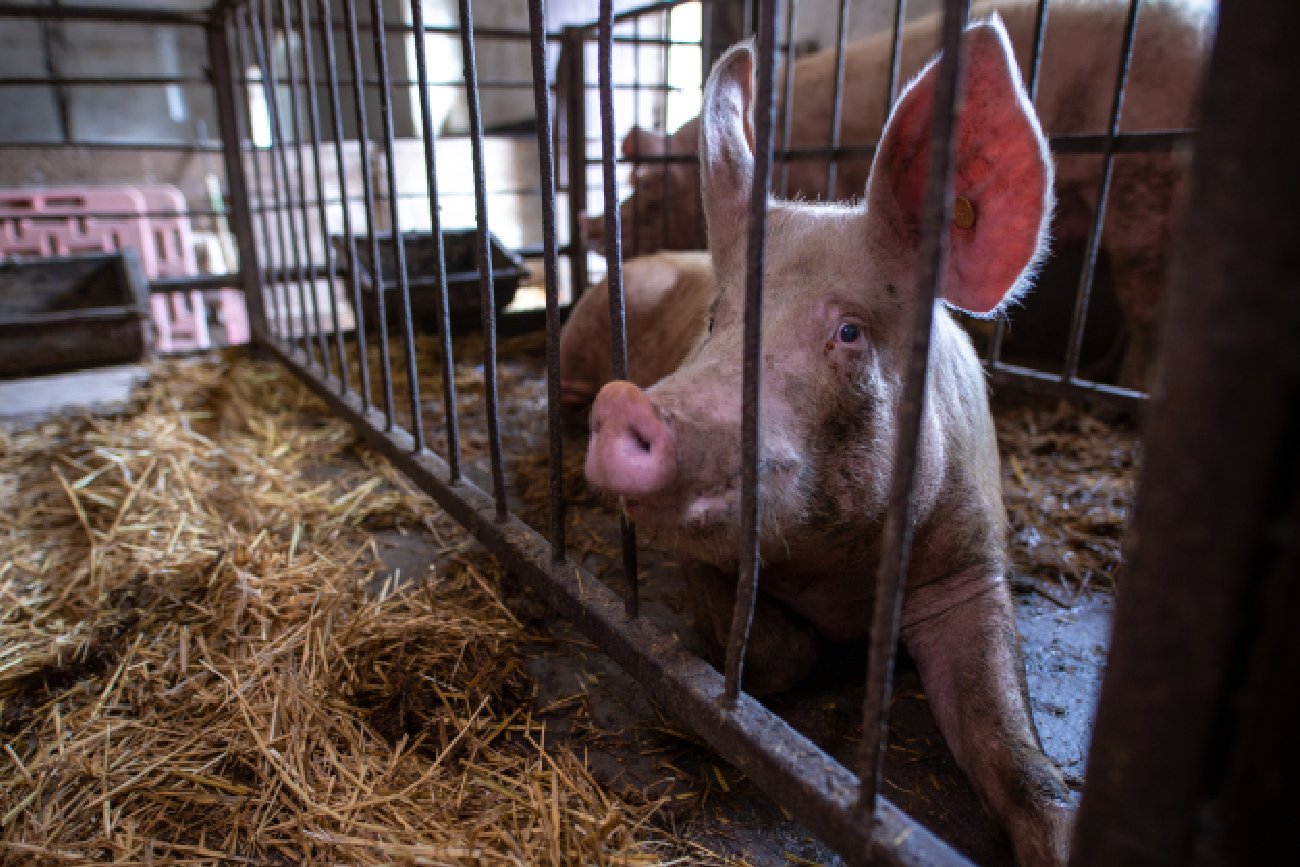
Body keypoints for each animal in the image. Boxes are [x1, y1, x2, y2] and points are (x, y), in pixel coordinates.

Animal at [590, 18, 1076, 867]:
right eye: (718, 319)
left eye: (849, 331)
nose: (625, 403)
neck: (842, 567)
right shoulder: (700, 556)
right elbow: (777, 650)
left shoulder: (971, 558)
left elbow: (1010, 739)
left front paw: (1060, 839)